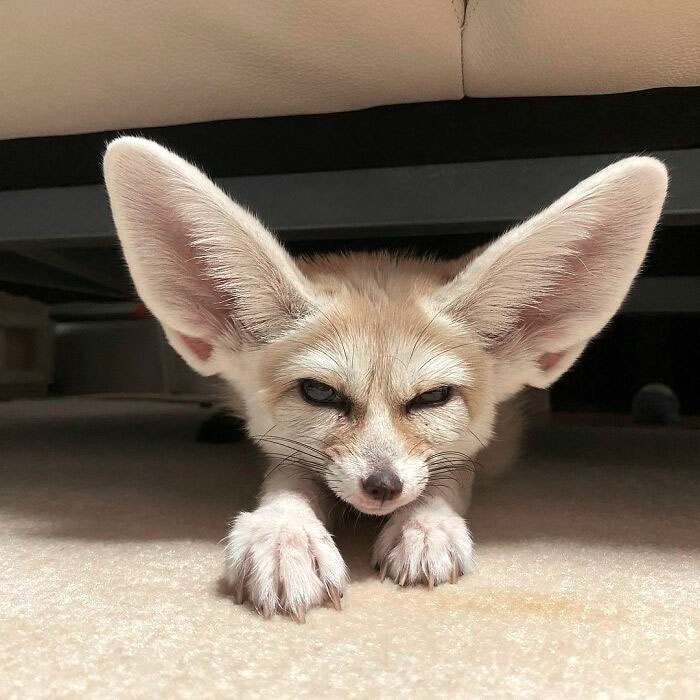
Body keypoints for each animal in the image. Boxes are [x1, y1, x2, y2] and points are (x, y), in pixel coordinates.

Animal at [104, 137, 667, 621]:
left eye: (434, 397)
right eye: (319, 392)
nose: (382, 486)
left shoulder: (485, 447)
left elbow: (450, 474)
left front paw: (426, 523)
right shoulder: (286, 450)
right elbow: (288, 479)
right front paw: (285, 532)